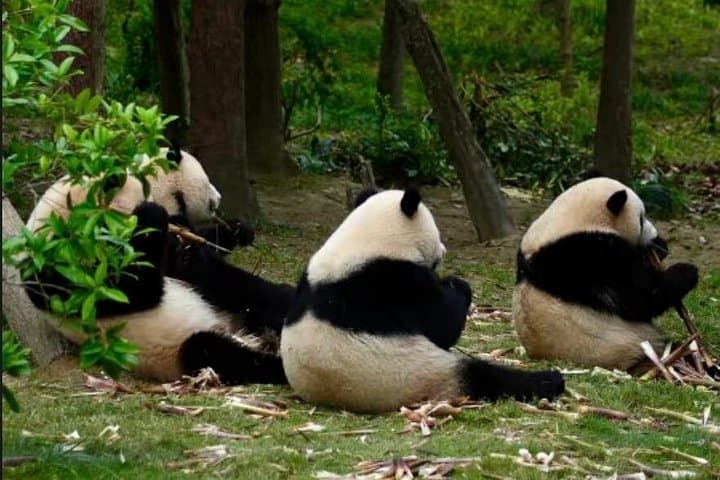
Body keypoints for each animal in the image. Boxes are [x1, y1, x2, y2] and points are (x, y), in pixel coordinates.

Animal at [24, 148, 293, 383]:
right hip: (175, 350)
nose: (218, 198)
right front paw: (153, 216)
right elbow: (128, 289)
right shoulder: (57, 266)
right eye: (207, 181)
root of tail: (234, 331)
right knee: (216, 352)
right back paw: (277, 363)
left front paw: (234, 230)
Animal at [280, 187, 565, 413]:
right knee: (486, 377)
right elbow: (441, 324)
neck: (363, 242)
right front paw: (456, 285)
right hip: (421, 373)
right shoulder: (395, 283)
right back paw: (550, 380)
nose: (444, 251)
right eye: (437, 233)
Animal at [513, 177, 699, 372]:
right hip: (626, 347)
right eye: (641, 219)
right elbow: (639, 298)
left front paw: (660, 247)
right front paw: (686, 271)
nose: (655, 236)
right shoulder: (587, 257)